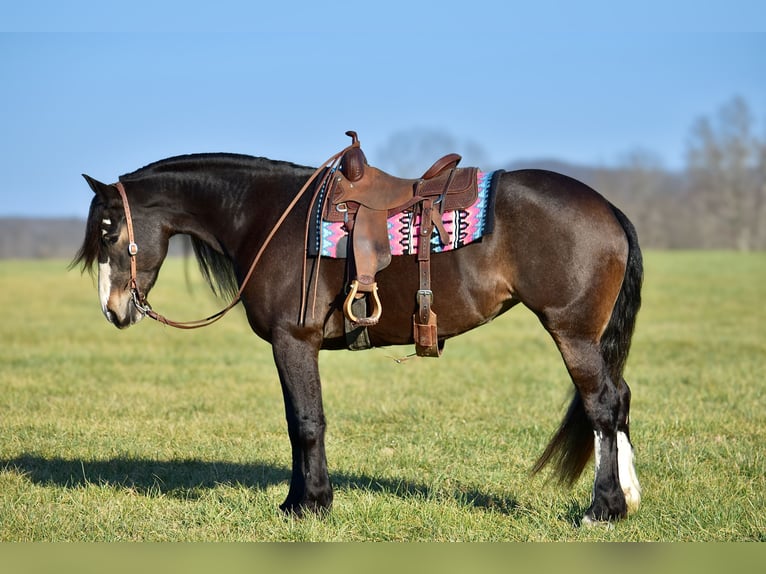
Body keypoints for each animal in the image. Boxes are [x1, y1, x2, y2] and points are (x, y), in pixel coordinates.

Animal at [75, 138, 644, 528]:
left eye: (108, 231)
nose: (112, 310)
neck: (267, 217)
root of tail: (608, 209)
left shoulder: (293, 341)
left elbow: (306, 422)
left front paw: (309, 504)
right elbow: (298, 422)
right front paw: (298, 499)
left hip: (571, 333)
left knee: (602, 404)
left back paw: (604, 508)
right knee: (619, 398)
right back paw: (630, 496)